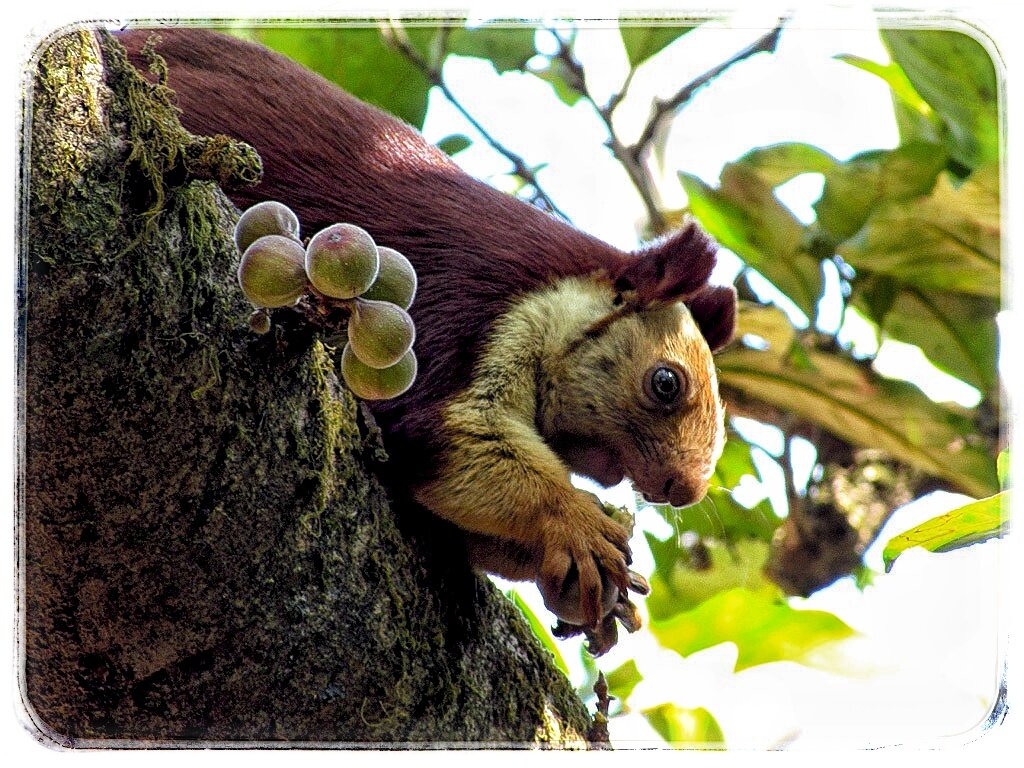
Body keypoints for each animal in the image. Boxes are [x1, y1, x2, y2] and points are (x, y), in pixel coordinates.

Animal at [119, 30, 737, 655]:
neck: (549, 290)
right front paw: (577, 522)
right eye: (666, 383)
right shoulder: (465, 310)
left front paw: (601, 591)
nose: (682, 490)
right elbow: (452, 436)